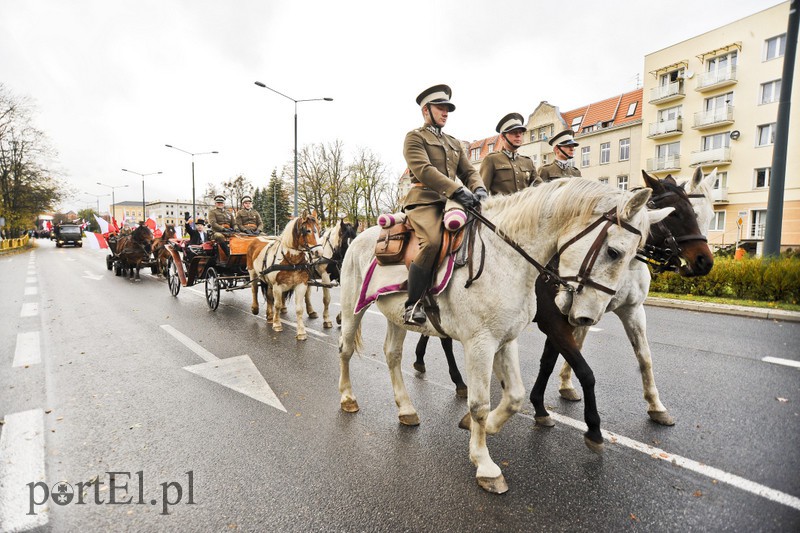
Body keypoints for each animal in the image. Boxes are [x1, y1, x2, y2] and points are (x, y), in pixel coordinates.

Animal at [334, 180, 672, 494]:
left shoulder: (506, 340)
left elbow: (514, 397)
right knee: (345, 350)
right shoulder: (480, 344)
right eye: (614, 252)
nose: (587, 316)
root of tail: (363, 235)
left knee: (392, 355)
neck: (507, 258)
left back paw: (406, 409)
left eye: (634, 254)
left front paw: (485, 427)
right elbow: (479, 403)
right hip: (352, 307)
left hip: (396, 318)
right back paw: (348, 398)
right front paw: (485, 464)